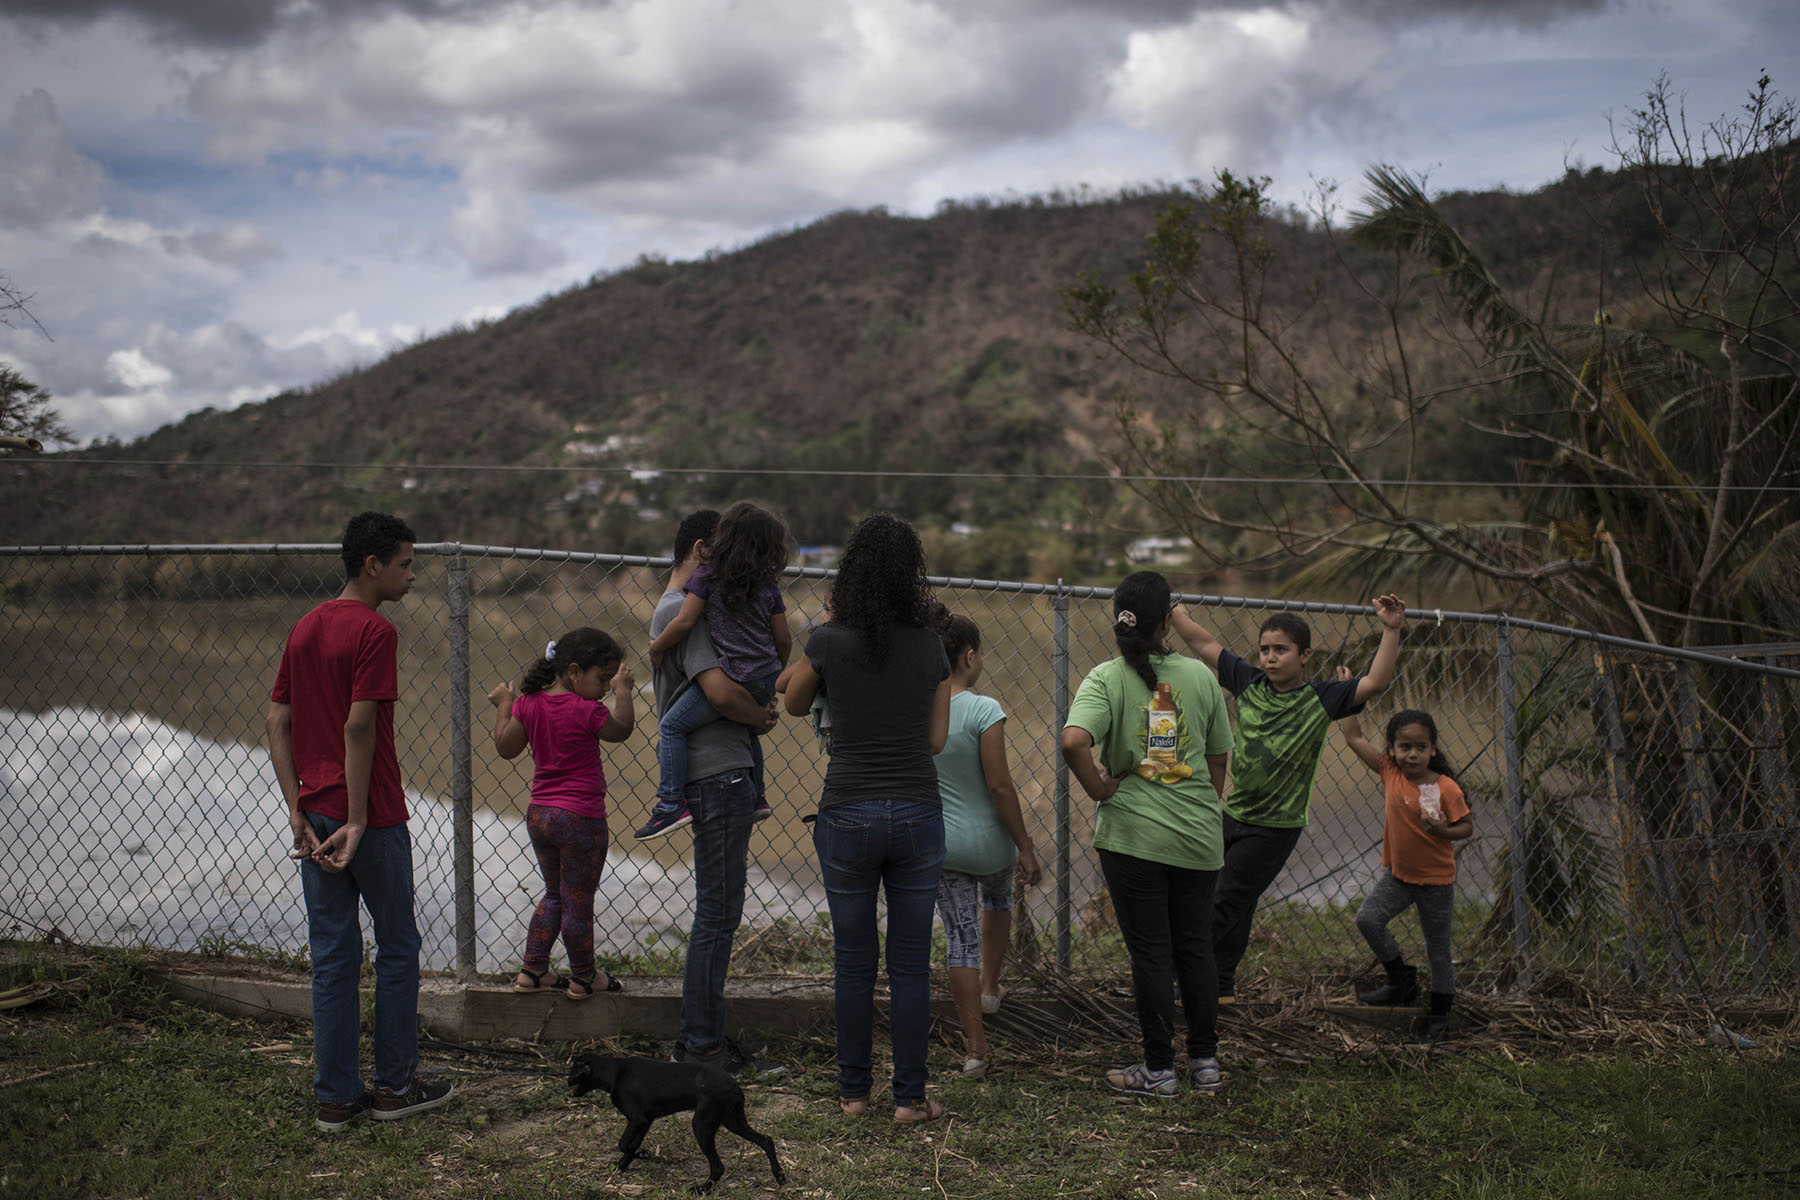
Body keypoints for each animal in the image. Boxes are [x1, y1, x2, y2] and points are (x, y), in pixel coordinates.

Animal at [568, 1050, 781, 1194]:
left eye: (572, 1071)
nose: (567, 1081)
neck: (614, 1071)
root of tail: (735, 1086)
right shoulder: (646, 1121)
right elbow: (631, 1145)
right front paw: (623, 1166)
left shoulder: (637, 1119)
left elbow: (623, 1144)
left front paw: (643, 1155)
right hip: (733, 1122)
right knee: (766, 1140)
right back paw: (779, 1175)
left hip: (702, 1127)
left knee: (718, 1166)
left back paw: (702, 1190)